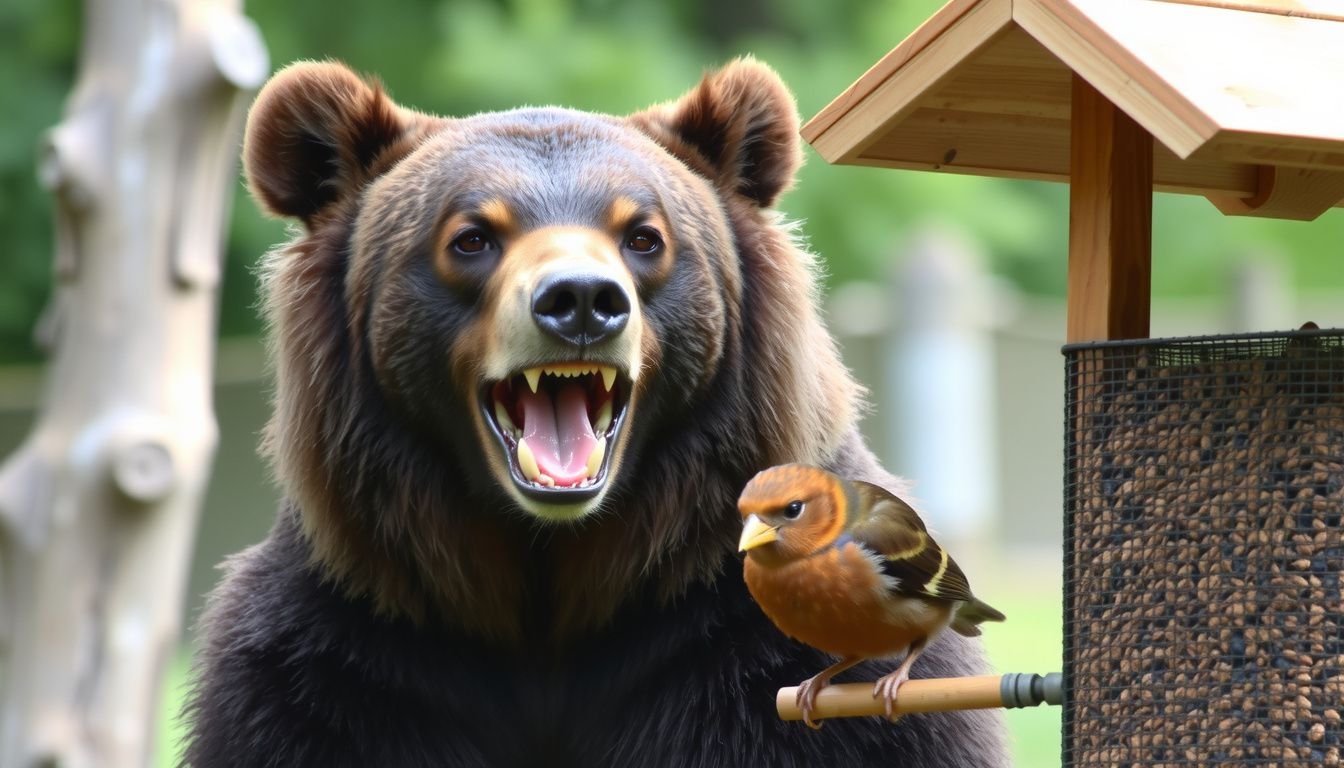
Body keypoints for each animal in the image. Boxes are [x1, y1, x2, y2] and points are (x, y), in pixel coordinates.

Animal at [184, 59, 1008, 767]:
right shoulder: (346, 667)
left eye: (643, 235)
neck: (552, 587)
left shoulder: (736, 652)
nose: (581, 300)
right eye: (472, 236)